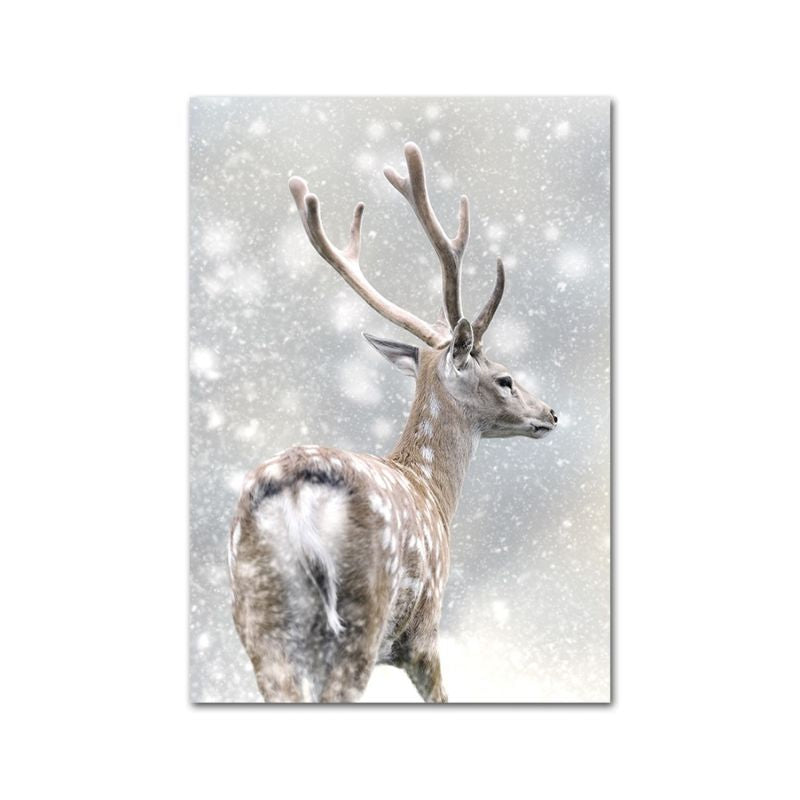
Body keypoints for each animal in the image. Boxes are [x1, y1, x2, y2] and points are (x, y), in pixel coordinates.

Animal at [228, 142, 557, 703]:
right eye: (506, 379)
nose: (550, 414)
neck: (431, 490)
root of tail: (294, 492)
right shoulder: (423, 632)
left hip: (257, 617)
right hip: (362, 610)